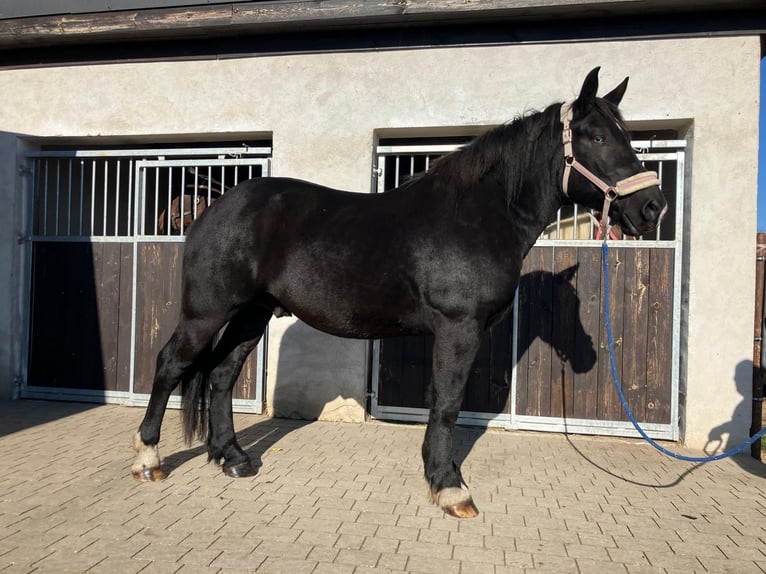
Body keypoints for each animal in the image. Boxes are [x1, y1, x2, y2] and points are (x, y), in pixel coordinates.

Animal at [132, 68, 664, 520]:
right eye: (598, 137)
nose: (652, 207)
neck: (476, 216)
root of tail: (208, 210)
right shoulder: (458, 329)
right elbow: (447, 403)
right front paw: (450, 487)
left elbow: (443, 403)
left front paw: (440, 476)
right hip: (206, 313)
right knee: (170, 365)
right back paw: (148, 458)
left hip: (251, 315)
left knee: (222, 374)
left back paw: (234, 458)